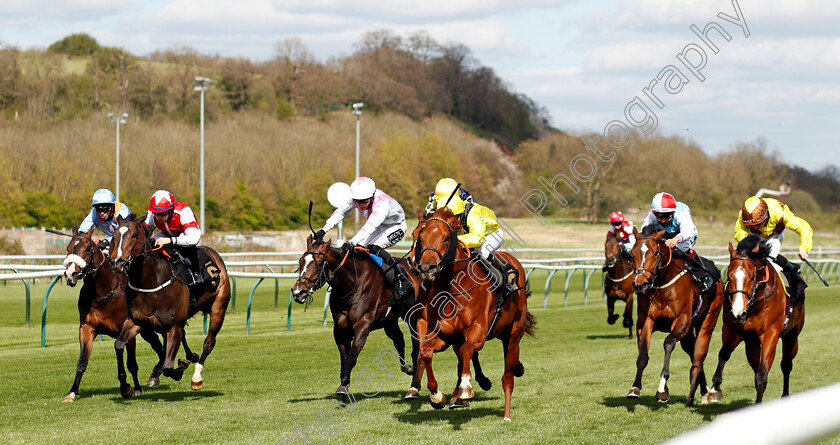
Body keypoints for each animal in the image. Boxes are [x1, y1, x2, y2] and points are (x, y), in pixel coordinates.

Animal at [60, 227, 166, 400]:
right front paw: (73, 392)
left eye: (87, 248)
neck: (102, 293)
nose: (70, 275)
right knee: (159, 346)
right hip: (147, 330)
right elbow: (82, 361)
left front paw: (130, 388)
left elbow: (131, 364)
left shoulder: (128, 330)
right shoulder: (87, 327)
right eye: (68, 249)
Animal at [110, 213, 233, 398]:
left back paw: (196, 376)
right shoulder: (137, 322)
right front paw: (125, 387)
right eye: (114, 235)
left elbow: (169, 367)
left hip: (218, 308)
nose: (117, 262)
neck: (151, 281)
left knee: (209, 342)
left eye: (133, 235)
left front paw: (180, 368)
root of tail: (215, 255)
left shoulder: (173, 326)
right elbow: (118, 344)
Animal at [408, 208, 540, 420]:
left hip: (512, 337)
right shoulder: (442, 334)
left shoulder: (478, 331)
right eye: (419, 237)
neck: (452, 287)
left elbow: (467, 351)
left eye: (446, 238)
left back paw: (506, 414)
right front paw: (436, 396)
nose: (427, 267)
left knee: (507, 377)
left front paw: (465, 388)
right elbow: (425, 352)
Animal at [632, 227, 720, 404]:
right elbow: (643, 356)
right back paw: (703, 390)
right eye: (632, 253)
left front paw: (662, 388)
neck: (662, 287)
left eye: (655, 253)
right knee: (692, 352)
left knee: (699, 353)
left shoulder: (681, 320)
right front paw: (635, 388)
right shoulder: (646, 320)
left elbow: (668, 343)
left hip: (707, 320)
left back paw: (706, 393)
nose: (640, 285)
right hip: (688, 333)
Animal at [704, 234, 808, 404]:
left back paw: (785, 395)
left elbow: (762, 374)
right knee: (755, 365)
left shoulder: (770, 334)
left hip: (792, 336)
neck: (755, 304)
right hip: (751, 343)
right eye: (729, 276)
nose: (738, 312)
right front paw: (714, 389)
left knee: (786, 364)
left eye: (752, 277)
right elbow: (724, 353)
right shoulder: (733, 330)